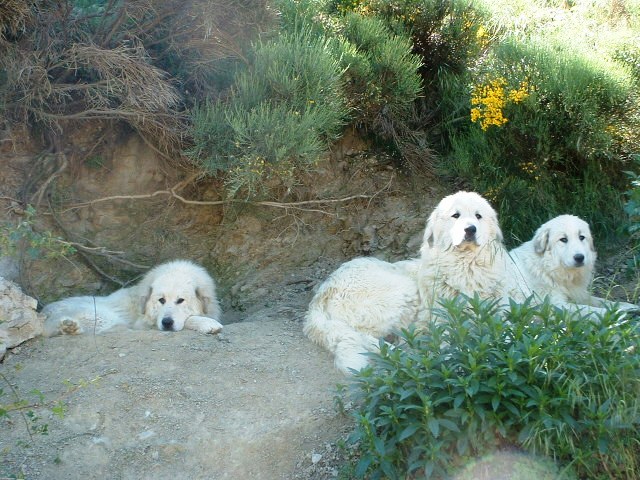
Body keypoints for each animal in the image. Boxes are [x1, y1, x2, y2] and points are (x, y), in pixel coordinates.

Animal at [42, 260, 222, 336]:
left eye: (180, 300)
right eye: (161, 300)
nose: (166, 322)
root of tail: (45, 311)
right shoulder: (143, 323)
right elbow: (190, 319)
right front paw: (207, 324)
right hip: (102, 316)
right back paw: (70, 327)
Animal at [508, 215, 636, 316]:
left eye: (581, 237)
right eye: (563, 239)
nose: (579, 257)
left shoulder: (579, 295)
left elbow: (604, 301)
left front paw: (628, 307)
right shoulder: (555, 304)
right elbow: (588, 309)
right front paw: (614, 314)